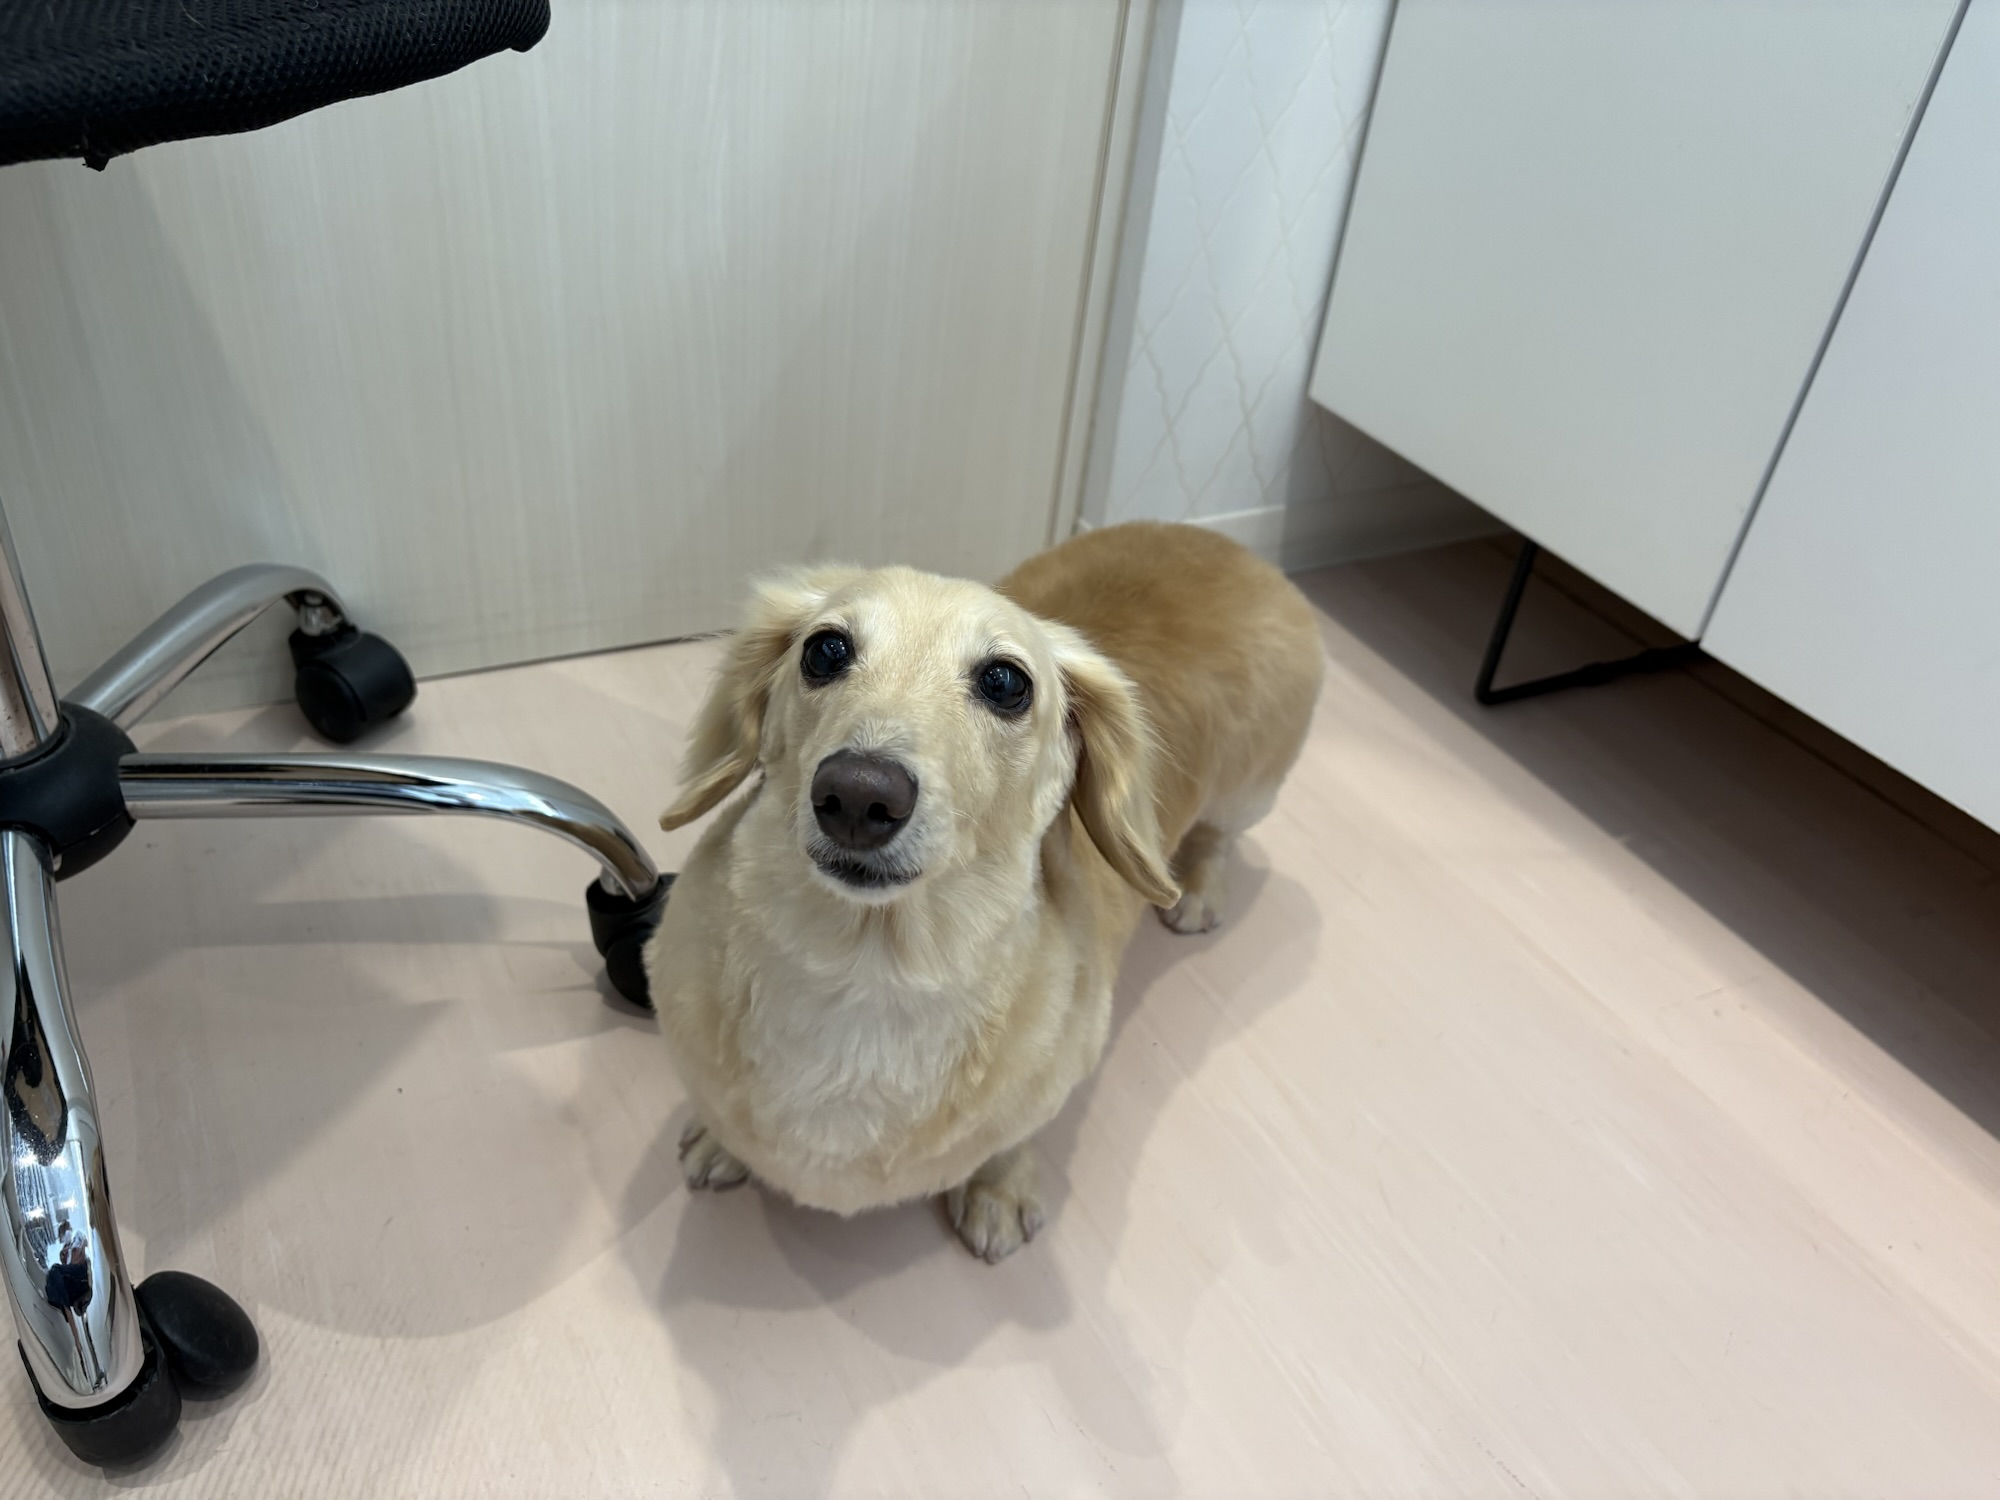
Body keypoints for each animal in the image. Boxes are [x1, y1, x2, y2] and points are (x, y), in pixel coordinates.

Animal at [645, 521, 1323, 1261]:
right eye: (825, 650)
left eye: (1005, 682)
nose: (857, 794)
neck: (866, 968)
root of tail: (1219, 541)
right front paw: (722, 1143)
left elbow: (1012, 1140)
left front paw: (999, 1191)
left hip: (1248, 791)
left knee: (1217, 837)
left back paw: (1195, 889)